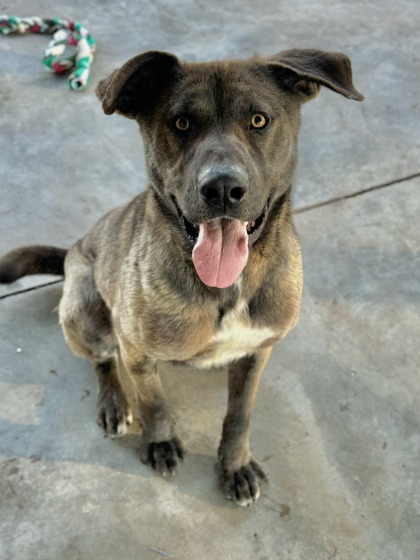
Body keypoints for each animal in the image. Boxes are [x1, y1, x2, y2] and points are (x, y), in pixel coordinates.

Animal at [0, 49, 360, 508]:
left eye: (259, 120)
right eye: (181, 123)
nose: (222, 188)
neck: (226, 286)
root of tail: (73, 251)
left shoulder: (259, 350)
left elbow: (240, 414)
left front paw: (235, 465)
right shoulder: (135, 348)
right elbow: (153, 400)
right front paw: (159, 443)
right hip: (85, 309)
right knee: (101, 359)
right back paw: (113, 402)